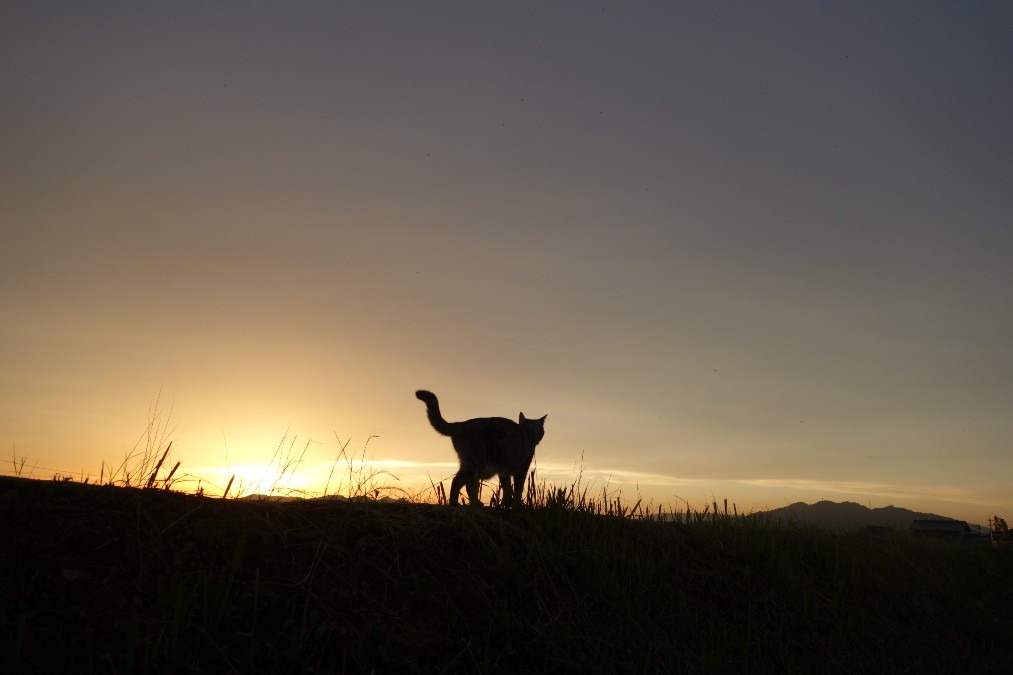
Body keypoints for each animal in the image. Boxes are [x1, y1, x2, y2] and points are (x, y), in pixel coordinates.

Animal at [415, 389, 547, 504]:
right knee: (458, 481)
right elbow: (518, 489)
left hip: (472, 466)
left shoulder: (504, 471)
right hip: (475, 463)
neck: (527, 431)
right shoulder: (522, 469)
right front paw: (516, 504)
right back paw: (455, 503)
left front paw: (507, 503)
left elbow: (507, 488)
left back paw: (473, 503)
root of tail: (459, 424)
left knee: (467, 485)